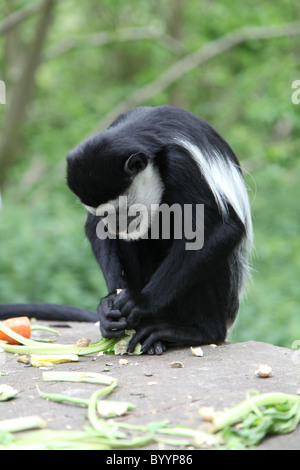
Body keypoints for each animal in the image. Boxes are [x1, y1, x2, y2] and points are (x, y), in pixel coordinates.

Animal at [0, 106, 253, 354]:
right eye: (104, 214)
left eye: (123, 211)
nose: (116, 226)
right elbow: (94, 228)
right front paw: (108, 305)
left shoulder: (182, 163)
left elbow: (220, 229)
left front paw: (141, 302)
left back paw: (193, 332)